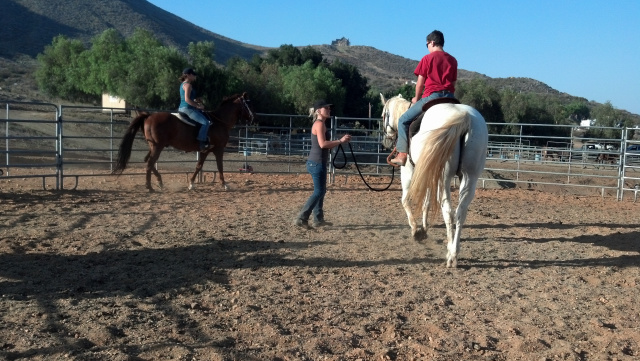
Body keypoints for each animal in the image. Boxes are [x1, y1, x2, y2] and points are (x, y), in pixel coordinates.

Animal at [114, 92, 254, 191]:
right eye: (247, 104)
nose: (253, 117)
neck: (219, 121)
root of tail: (148, 116)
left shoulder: (205, 150)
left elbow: (198, 166)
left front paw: (191, 184)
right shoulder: (219, 149)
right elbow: (220, 166)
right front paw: (224, 184)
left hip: (153, 146)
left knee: (148, 161)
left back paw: (159, 182)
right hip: (157, 146)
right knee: (149, 163)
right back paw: (150, 187)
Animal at [382, 93, 488, 268]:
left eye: (383, 115)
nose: (386, 141)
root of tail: (464, 117)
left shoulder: (409, 170)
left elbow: (405, 200)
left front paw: (416, 230)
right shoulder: (429, 171)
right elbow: (426, 202)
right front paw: (424, 229)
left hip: (444, 178)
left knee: (448, 211)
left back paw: (450, 256)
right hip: (469, 176)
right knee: (460, 212)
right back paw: (454, 252)